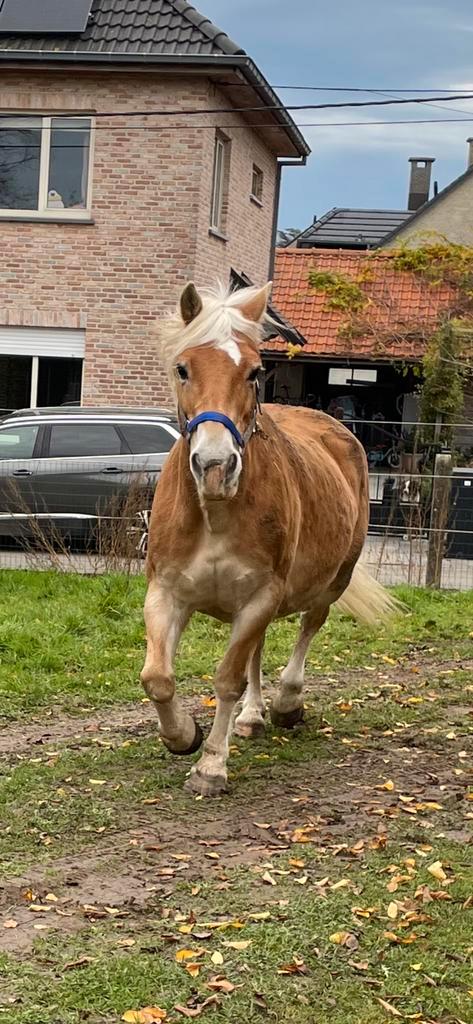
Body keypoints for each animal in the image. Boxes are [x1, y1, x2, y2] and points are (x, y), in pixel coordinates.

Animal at [141, 281, 399, 797]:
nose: (215, 466)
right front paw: (184, 736)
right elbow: (157, 677)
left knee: (309, 626)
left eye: (255, 371)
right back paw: (253, 717)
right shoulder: (166, 592)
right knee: (256, 652)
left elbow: (227, 679)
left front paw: (211, 767)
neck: (215, 513)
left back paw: (285, 704)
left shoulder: (262, 595)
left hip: (332, 580)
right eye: (183, 368)